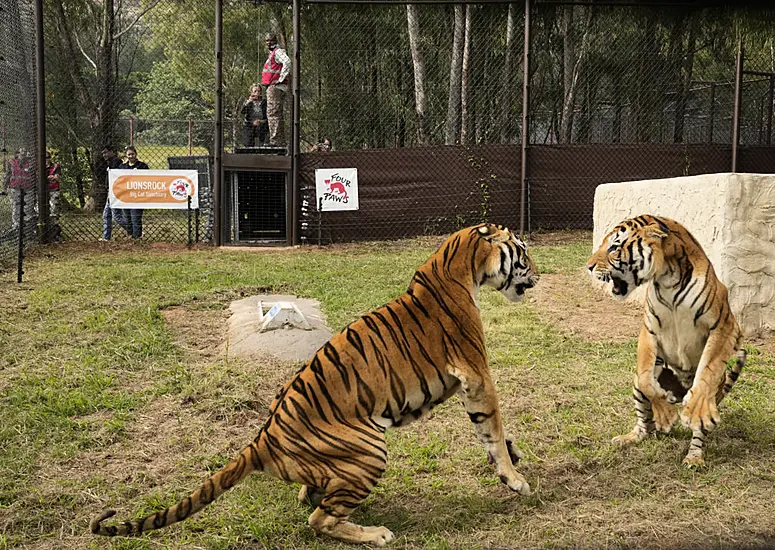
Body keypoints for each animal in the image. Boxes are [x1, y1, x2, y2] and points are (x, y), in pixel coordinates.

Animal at [91, 224, 540, 548]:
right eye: (523, 252)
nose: (540, 274)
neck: (459, 264)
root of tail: (262, 440)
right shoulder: (477, 375)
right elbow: (492, 428)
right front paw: (515, 479)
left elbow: (492, 430)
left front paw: (514, 456)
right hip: (371, 450)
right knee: (318, 517)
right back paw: (375, 534)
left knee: (313, 497)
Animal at [588, 218, 744, 468]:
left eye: (613, 247)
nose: (589, 267)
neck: (667, 277)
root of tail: (680, 392)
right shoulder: (649, 330)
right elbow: (646, 380)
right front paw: (665, 414)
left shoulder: (724, 326)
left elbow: (708, 370)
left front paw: (693, 409)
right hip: (638, 390)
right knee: (646, 424)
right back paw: (631, 437)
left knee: (698, 425)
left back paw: (694, 456)